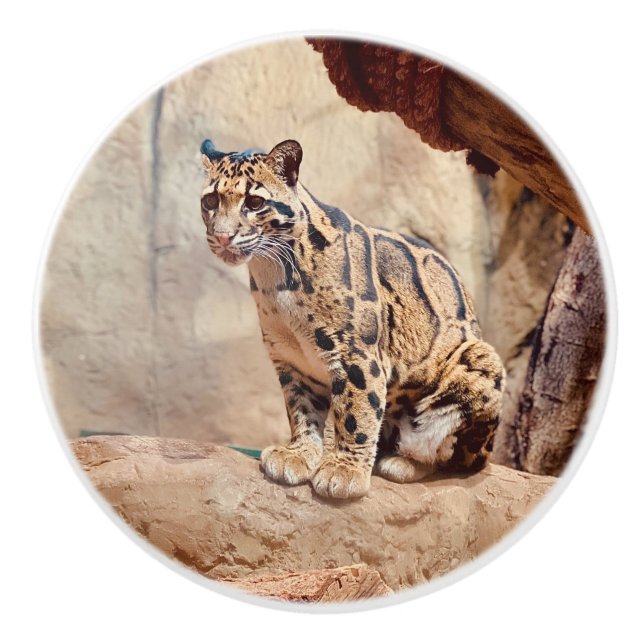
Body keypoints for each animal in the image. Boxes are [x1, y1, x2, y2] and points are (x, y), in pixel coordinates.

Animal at [199, 137, 505, 499]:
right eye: (210, 200)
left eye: (255, 202)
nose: (222, 236)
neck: (274, 274)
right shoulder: (291, 359)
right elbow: (301, 410)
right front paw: (299, 454)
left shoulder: (355, 354)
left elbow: (356, 412)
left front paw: (344, 471)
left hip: (480, 361)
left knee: (454, 457)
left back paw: (402, 462)